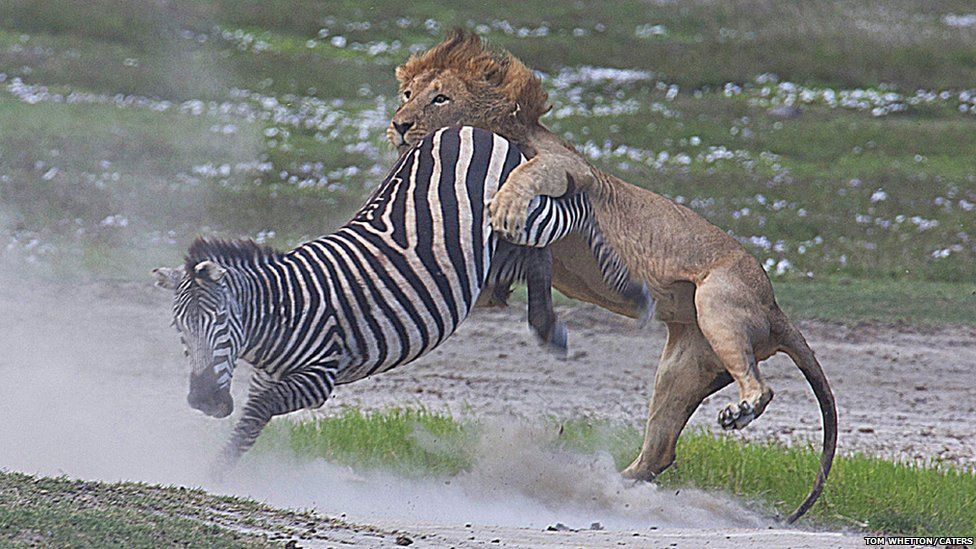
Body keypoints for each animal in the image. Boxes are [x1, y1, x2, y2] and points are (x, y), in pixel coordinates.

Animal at [152, 125, 644, 466]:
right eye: (180, 329)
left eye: (220, 322)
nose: (204, 402)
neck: (282, 310)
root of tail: (465, 128)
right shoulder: (267, 377)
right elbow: (250, 424)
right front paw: (221, 468)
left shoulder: (318, 377)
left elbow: (256, 412)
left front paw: (216, 472)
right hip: (485, 248)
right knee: (536, 259)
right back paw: (546, 328)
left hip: (521, 213)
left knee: (577, 206)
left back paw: (634, 292)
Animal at [388, 31, 840, 524]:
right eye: (408, 94)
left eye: (441, 98)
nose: (399, 125)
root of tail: (776, 309)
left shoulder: (572, 170)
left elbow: (529, 172)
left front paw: (505, 207)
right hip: (684, 365)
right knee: (661, 452)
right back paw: (604, 486)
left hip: (719, 304)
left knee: (761, 386)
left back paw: (736, 414)